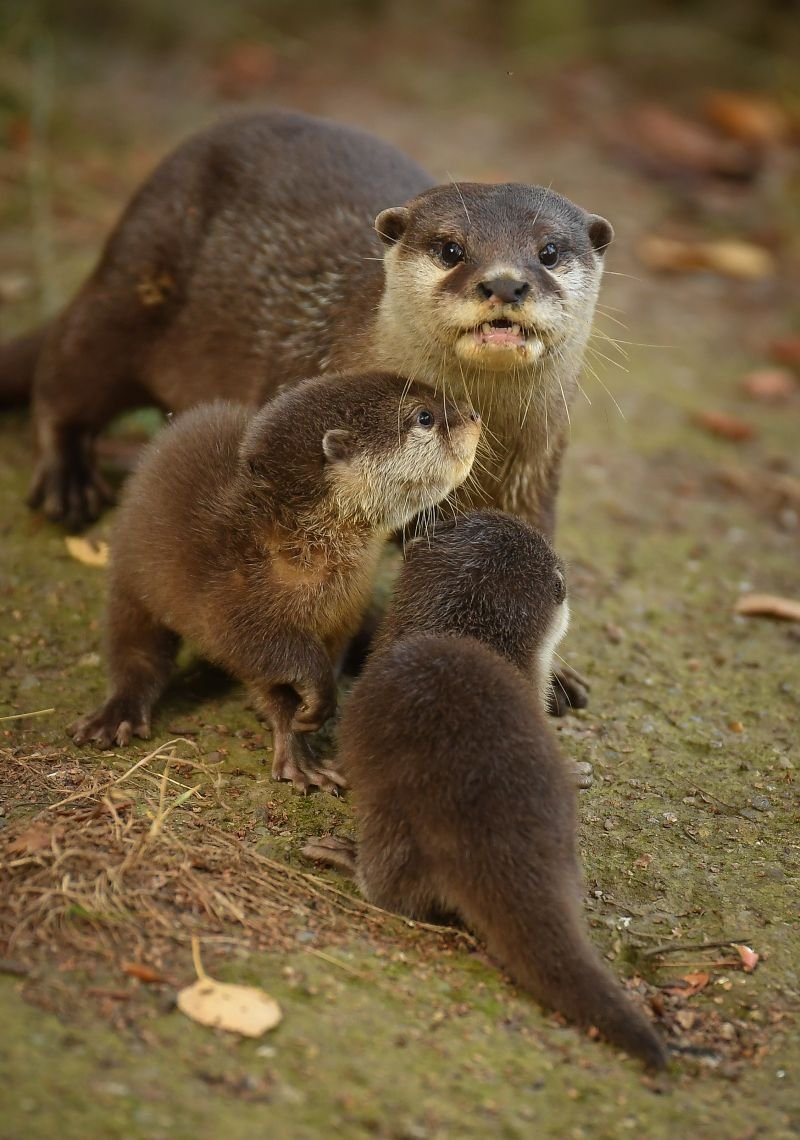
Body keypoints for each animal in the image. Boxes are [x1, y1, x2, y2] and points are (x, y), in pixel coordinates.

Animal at [68, 369, 478, 788]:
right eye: (424, 416)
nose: (474, 415)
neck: (298, 546)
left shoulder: (342, 621)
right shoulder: (232, 610)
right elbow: (270, 658)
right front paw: (303, 746)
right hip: (131, 575)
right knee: (134, 650)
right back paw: (116, 716)